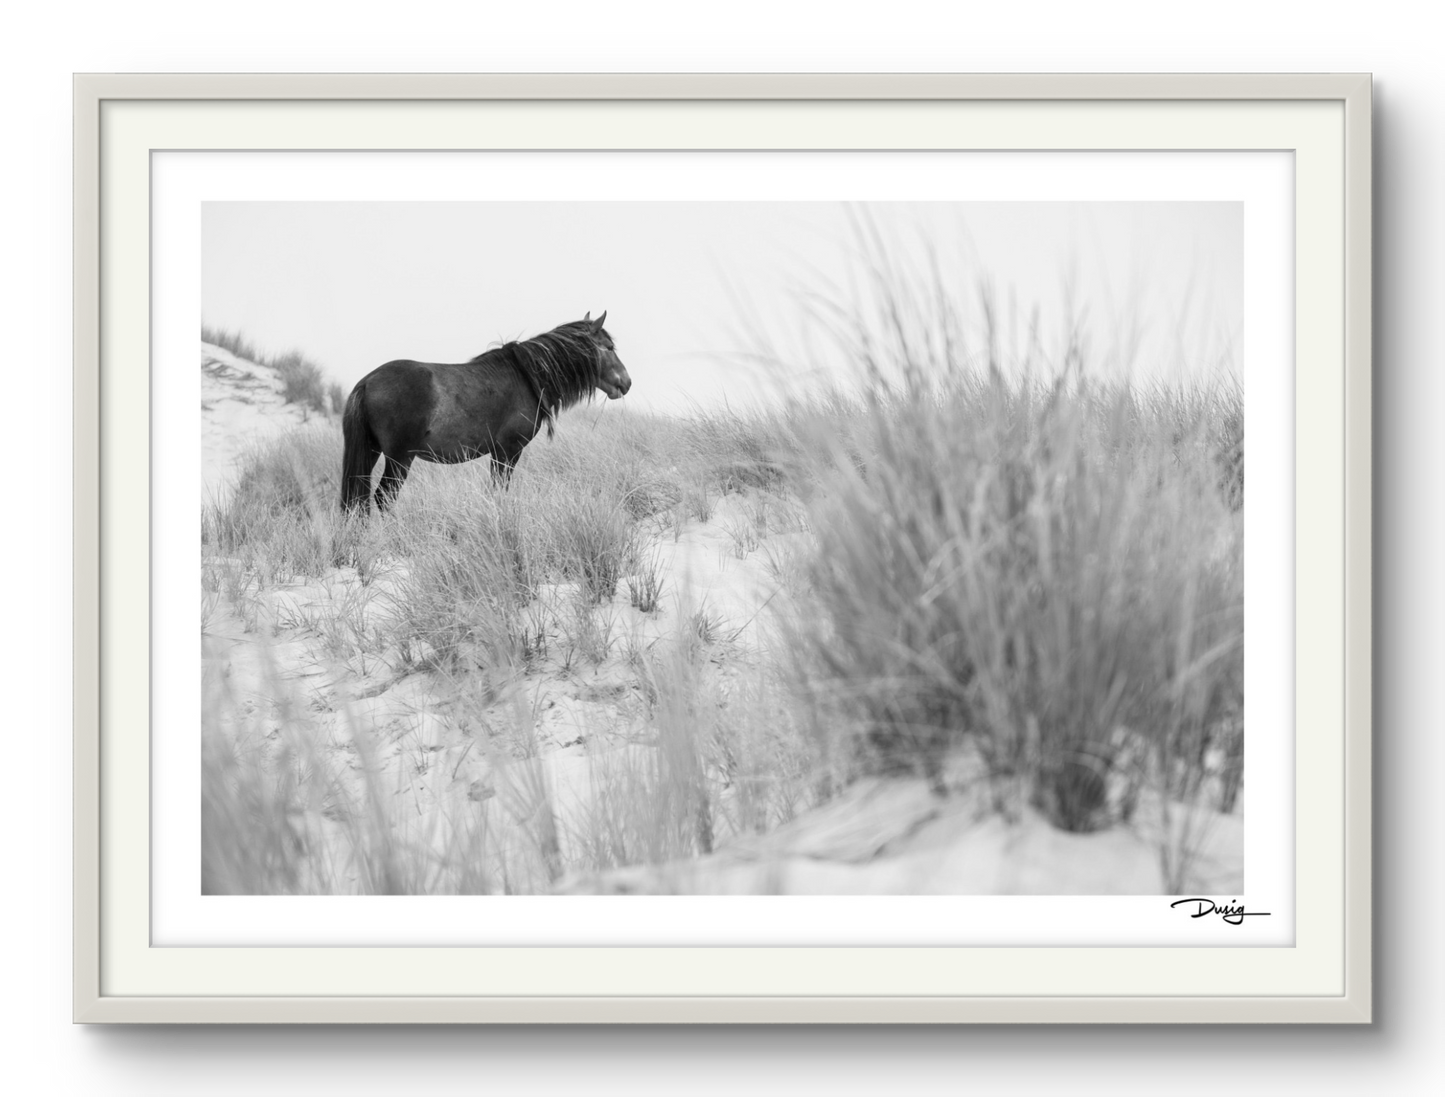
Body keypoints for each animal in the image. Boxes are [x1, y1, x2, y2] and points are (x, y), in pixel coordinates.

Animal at [343, 310, 632, 511]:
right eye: (609, 348)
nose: (626, 383)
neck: (526, 376)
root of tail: (367, 382)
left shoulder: (499, 453)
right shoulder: (509, 451)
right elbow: (499, 491)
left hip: (372, 451)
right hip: (400, 458)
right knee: (384, 497)